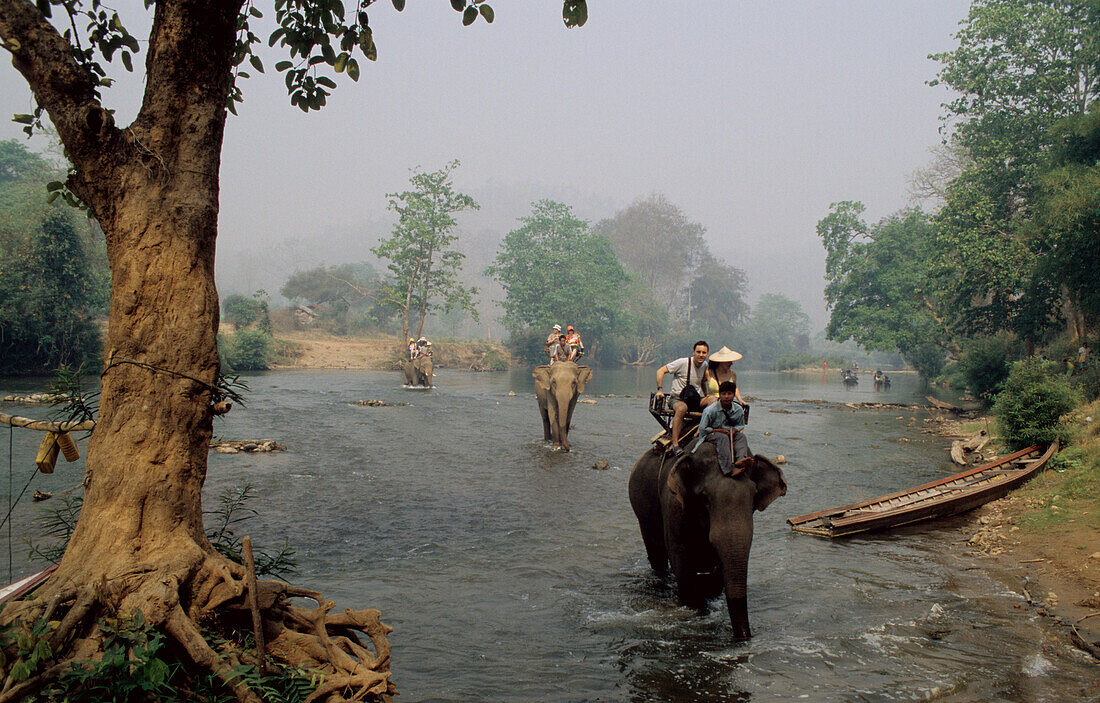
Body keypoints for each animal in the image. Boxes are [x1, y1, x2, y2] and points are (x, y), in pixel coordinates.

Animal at [633, 448, 787, 642]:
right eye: (704, 497)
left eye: (754, 495)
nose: (744, 638)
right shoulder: (674, 506)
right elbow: (680, 556)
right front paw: (696, 611)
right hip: (643, 510)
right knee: (656, 551)